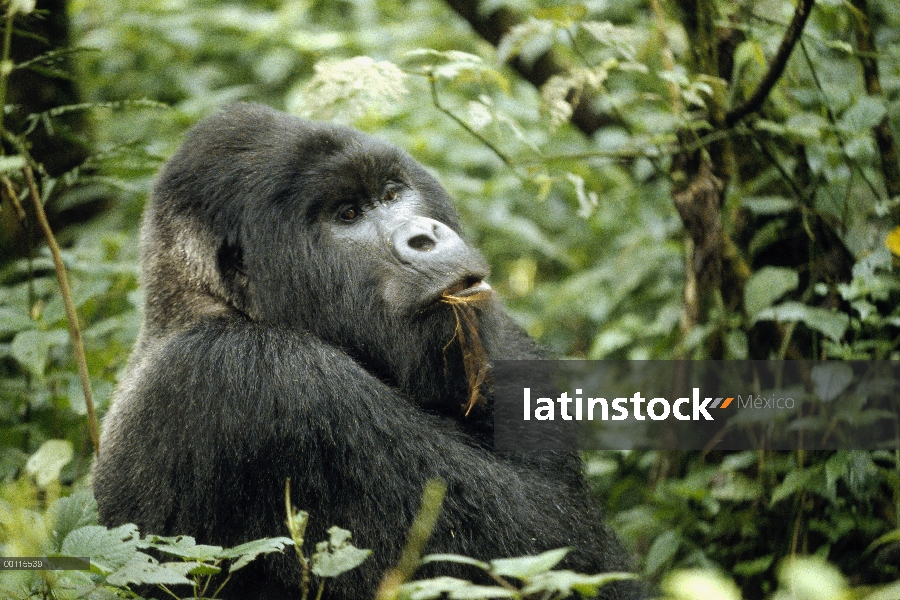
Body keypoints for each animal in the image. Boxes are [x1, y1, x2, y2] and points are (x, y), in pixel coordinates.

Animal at [89, 104, 640, 600]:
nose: (425, 235)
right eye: (347, 215)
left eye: (392, 193)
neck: (204, 301)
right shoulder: (261, 380)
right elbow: (550, 559)